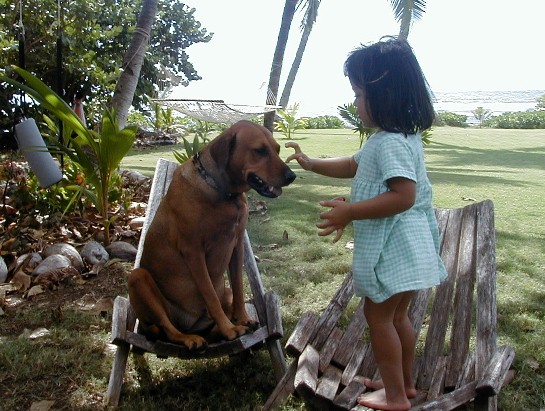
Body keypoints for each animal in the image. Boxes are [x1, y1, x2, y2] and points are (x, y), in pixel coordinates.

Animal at [128, 120, 296, 350]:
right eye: (260, 150)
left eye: (277, 150)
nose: (291, 176)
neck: (224, 194)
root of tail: (193, 325)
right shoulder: (193, 251)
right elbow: (209, 295)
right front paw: (229, 329)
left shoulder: (236, 244)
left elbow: (238, 286)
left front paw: (242, 319)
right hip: (138, 279)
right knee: (168, 328)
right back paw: (190, 337)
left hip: (223, 291)